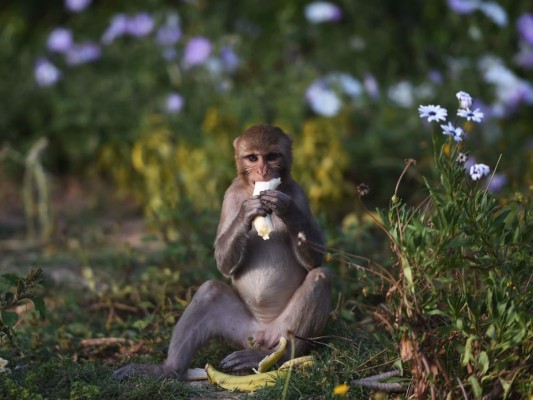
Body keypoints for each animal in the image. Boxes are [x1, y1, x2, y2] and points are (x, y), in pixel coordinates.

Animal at [114, 123, 330, 380]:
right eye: (253, 158)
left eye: (271, 156)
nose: (263, 171)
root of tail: (262, 331)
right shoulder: (231, 195)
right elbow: (223, 265)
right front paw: (248, 212)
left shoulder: (298, 193)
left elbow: (314, 261)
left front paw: (284, 208)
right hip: (241, 332)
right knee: (210, 291)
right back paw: (168, 369)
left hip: (280, 331)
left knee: (320, 277)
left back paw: (277, 356)